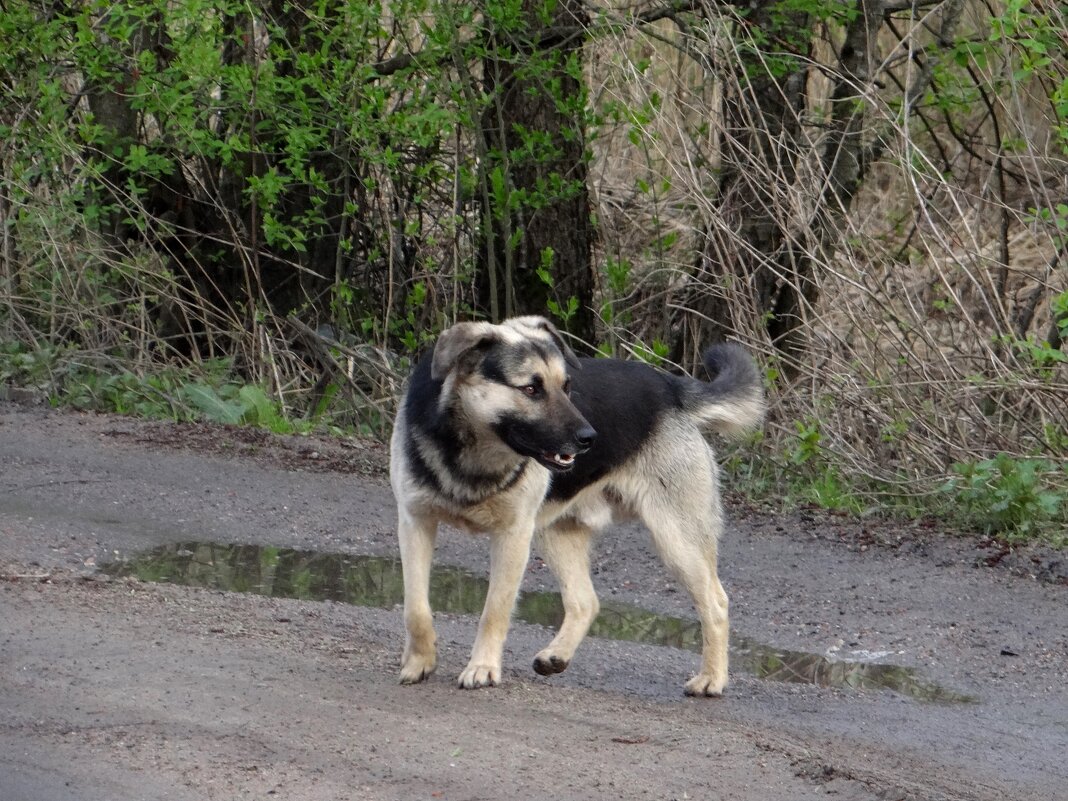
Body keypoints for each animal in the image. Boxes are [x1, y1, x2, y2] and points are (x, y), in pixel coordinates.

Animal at [388, 316, 764, 692]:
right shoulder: (414, 523)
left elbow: (494, 610)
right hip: (555, 533)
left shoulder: (512, 536)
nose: (589, 439)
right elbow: (415, 608)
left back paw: (712, 678)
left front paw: (482, 668)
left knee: (716, 603)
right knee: (586, 601)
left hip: (676, 540)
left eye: (566, 386)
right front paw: (419, 661)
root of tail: (668, 386)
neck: (474, 452)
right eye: (531, 389)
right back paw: (557, 655)